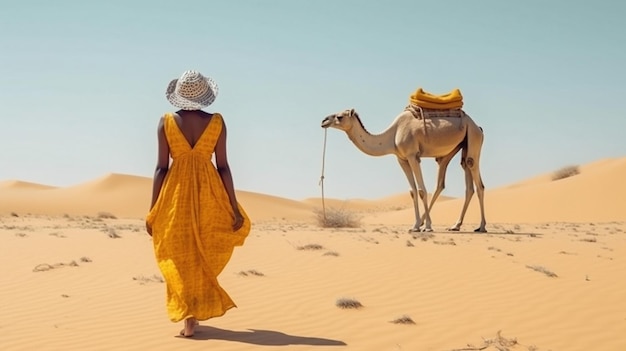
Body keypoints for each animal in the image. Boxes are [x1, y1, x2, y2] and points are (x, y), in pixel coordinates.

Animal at [320, 107, 486, 234]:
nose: (323, 121)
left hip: (473, 137)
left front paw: (427, 227)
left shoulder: (413, 156)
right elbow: (412, 191)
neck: (392, 135)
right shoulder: (402, 159)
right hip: (460, 145)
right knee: (462, 179)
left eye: (339, 117)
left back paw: (481, 227)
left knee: (477, 180)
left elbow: (421, 190)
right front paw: (415, 226)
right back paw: (455, 226)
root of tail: (478, 127)